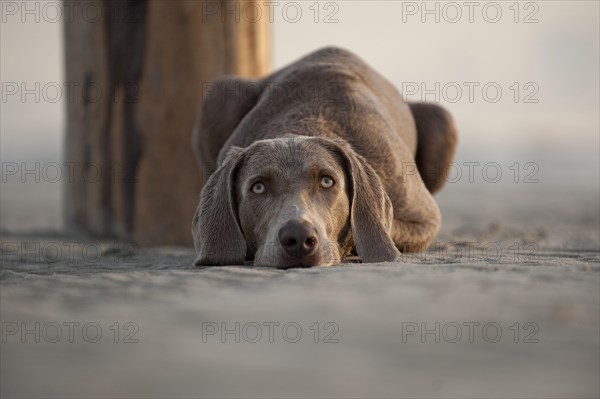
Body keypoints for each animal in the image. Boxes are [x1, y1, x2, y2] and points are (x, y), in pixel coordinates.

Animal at [193, 48, 460, 270]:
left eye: (327, 181)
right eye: (257, 187)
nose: (298, 237)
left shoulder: (424, 218)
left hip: (441, 119)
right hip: (220, 94)